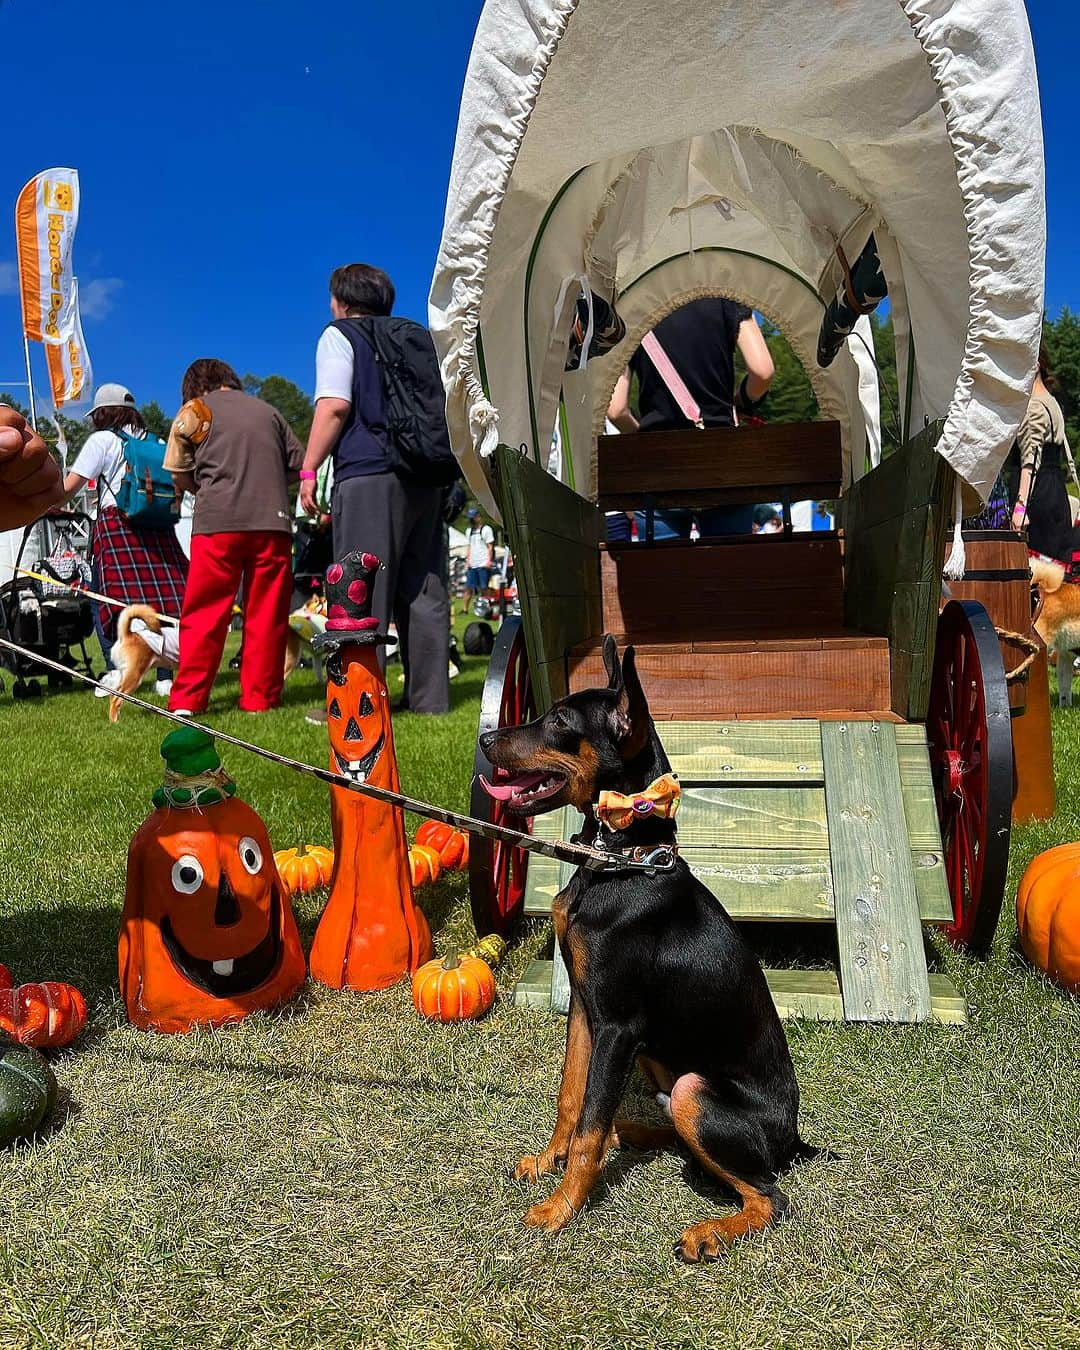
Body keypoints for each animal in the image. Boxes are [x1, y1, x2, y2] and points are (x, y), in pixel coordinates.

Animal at [480, 637, 820, 1258]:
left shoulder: (619, 1025)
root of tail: (793, 1140)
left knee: (770, 1196)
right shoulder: (586, 1008)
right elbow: (573, 1097)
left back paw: (710, 1231)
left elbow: (589, 1125)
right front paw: (548, 1163)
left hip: (690, 1087)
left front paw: (561, 1209)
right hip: (659, 1059)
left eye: (560, 721)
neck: (623, 862)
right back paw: (634, 1132)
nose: (486, 740)